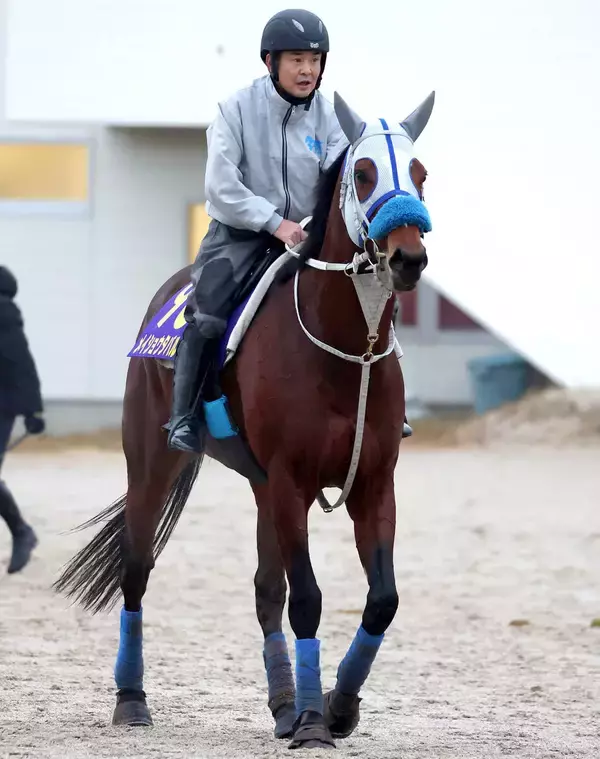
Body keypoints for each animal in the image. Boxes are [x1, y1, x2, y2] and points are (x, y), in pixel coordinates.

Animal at [55, 90, 435, 750]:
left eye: (420, 173)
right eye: (363, 173)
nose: (407, 257)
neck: (347, 349)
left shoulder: (370, 483)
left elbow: (381, 600)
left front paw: (336, 706)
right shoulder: (290, 481)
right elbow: (307, 600)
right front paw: (314, 723)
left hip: (261, 487)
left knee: (264, 591)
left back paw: (283, 705)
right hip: (154, 465)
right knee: (137, 570)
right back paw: (132, 700)